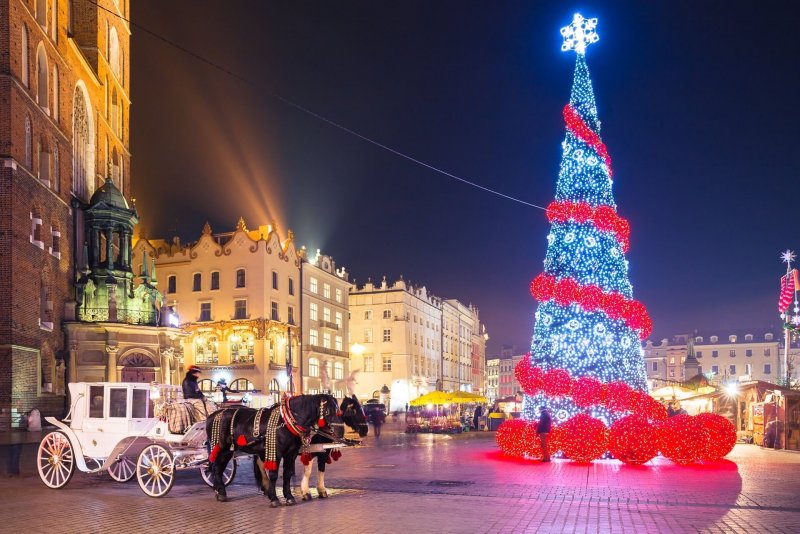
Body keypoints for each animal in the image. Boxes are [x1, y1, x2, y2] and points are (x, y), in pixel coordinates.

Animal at [205, 394, 342, 506]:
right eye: (328, 411)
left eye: (338, 410)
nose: (340, 432)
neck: (287, 422)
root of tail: (212, 415)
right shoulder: (277, 453)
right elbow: (275, 474)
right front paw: (275, 498)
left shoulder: (292, 453)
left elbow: (288, 474)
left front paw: (289, 497)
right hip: (222, 448)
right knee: (216, 467)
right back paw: (221, 492)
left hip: (230, 450)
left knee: (220, 468)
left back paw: (220, 491)